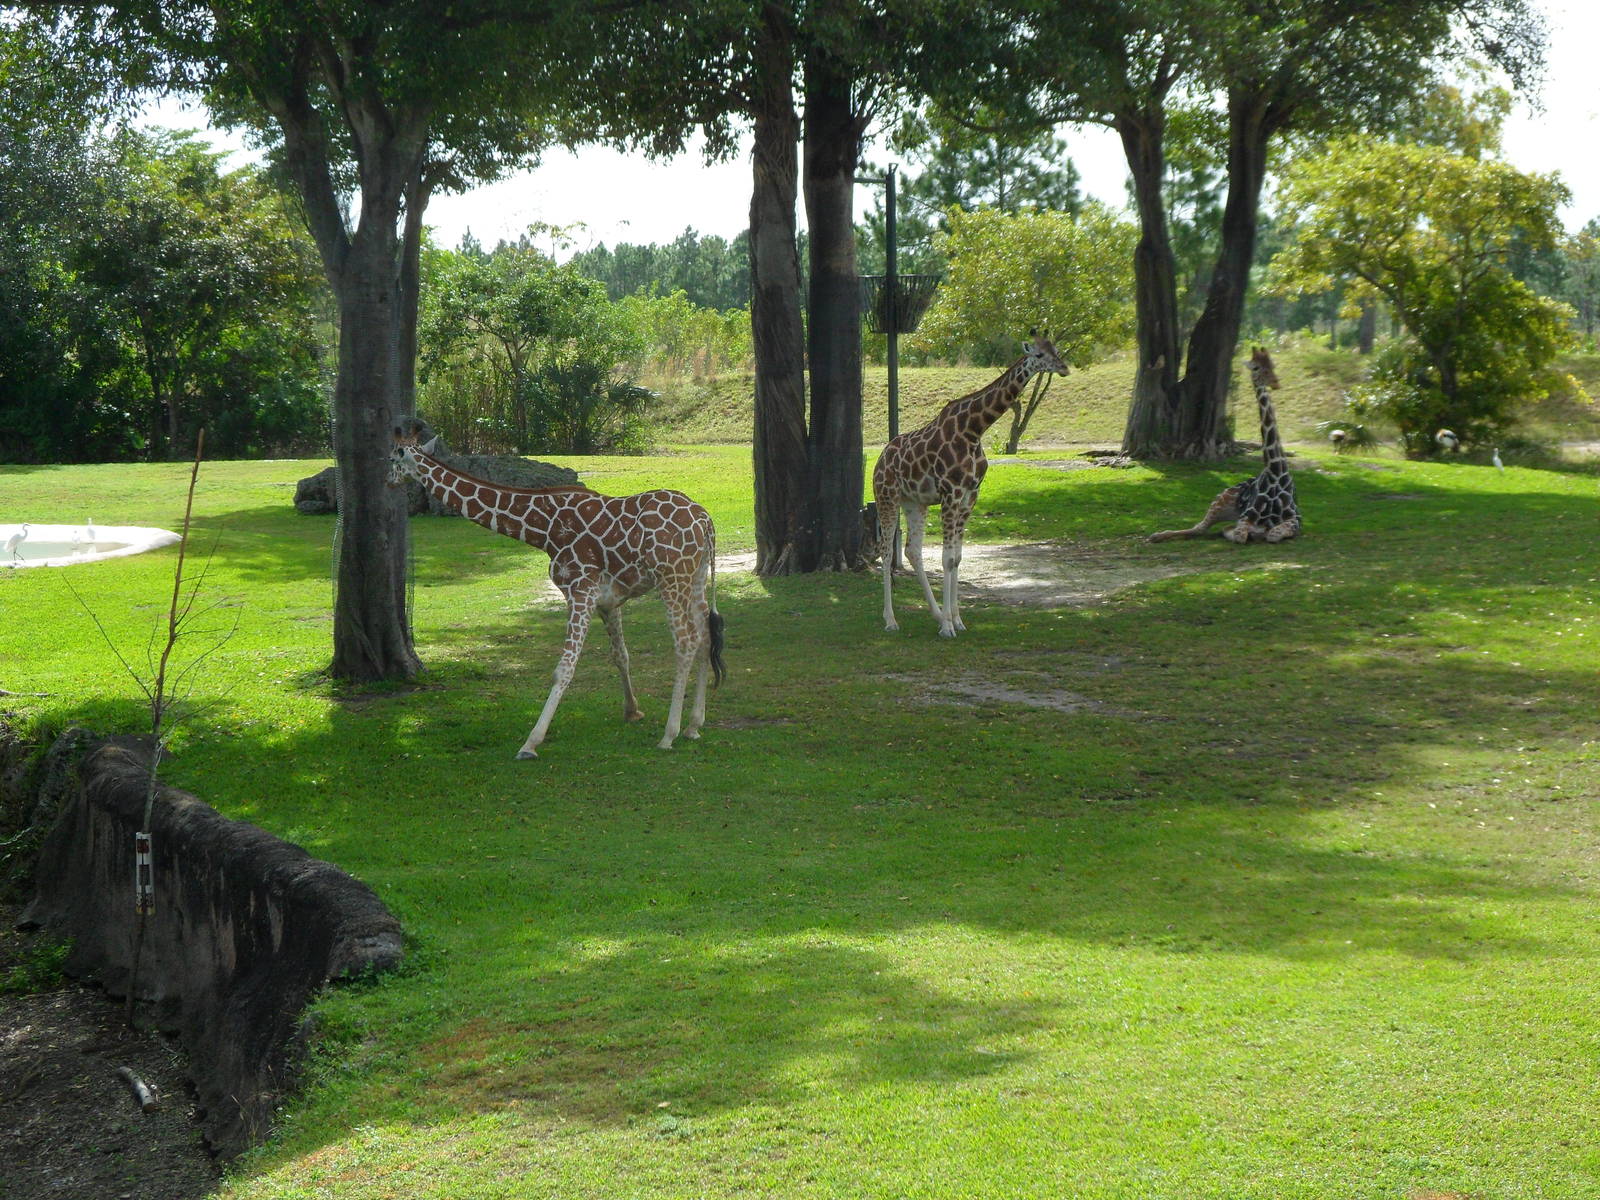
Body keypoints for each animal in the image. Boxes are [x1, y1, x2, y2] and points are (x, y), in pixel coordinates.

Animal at [388, 421, 725, 757]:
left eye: (392, 459)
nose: (389, 481)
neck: (545, 529)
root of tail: (705, 521)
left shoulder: (580, 590)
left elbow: (564, 668)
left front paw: (531, 742)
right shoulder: (607, 600)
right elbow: (620, 655)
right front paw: (632, 711)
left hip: (672, 578)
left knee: (686, 640)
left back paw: (670, 734)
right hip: (696, 576)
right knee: (705, 633)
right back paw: (694, 725)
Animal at [871, 331, 1069, 636]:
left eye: (1056, 350)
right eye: (1038, 355)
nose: (1064, 368)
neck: (974, 429)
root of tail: (879, 460)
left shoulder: (969, 496)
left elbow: (956, 558)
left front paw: (956, 620)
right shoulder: (950, 493)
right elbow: (946, 559)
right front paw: (948, 628)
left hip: (915, 502)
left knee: (912, 550)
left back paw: (935, 614)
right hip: (887, 496)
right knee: (885, 550)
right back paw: (891, 620)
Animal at [1146, 346, 1301, 545]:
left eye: (1272, 364)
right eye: (1256, 368)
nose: (1275, 383)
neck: (1276, 474)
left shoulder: (1295, 519)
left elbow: (1272, 534)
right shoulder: (1245, 518)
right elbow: (1242, 535)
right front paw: (1252, 533)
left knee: (1215, 528)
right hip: (1219, 502)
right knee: (1200, 528)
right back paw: (1156, 535)